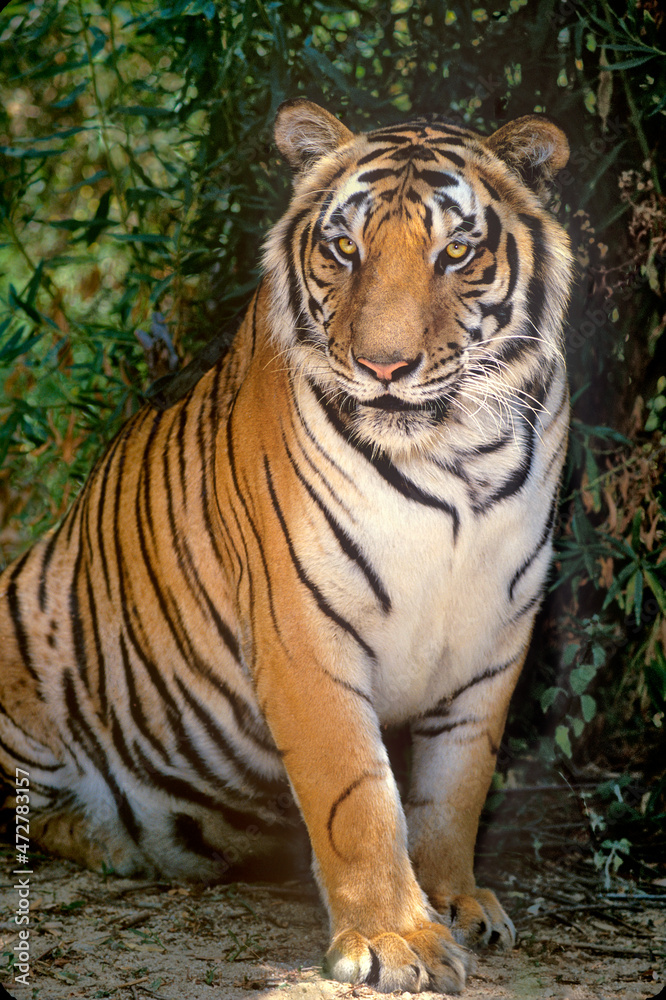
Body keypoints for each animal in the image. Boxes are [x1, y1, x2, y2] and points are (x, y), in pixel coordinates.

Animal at [0, 99, 572, 992]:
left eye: (455, 252)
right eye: (345, 248)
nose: (383, 366)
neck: (457, 451)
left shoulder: (496, 635)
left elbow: (458, 786)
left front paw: (457, 902)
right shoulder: (305, 630)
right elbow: (358, 796)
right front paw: (396, 939)